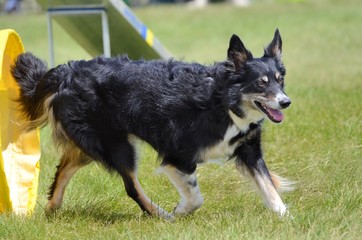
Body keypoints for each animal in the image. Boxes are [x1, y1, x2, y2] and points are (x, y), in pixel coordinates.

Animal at [12, 29, 292, 220]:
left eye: (280, 80)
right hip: (116, 145)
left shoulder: (248, 148)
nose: (286, 102)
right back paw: (159, 214)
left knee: (64, 168)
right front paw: (179, 211)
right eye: (261, 83)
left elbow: (268, 186)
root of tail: (65, 73)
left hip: (92, 144)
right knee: (131, 187)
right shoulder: (178, 156)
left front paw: (286, 217)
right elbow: (195, 197)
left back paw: (52, 208)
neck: (223, 100)